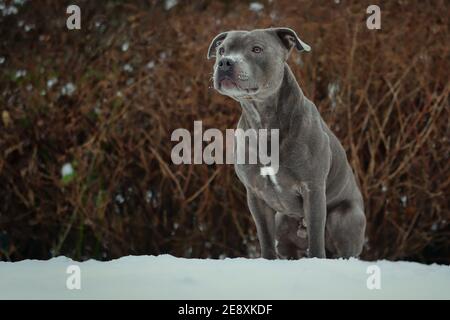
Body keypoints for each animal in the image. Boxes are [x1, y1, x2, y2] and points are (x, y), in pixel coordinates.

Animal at [207, 26, 366, 258]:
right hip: (283, 225)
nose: (225, 62)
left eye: (256, 49)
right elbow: (264, 236)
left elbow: (316, 237)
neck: (263, 120)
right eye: (221, 50)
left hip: (344, 217)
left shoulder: (312, 188)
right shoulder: (255, 195)